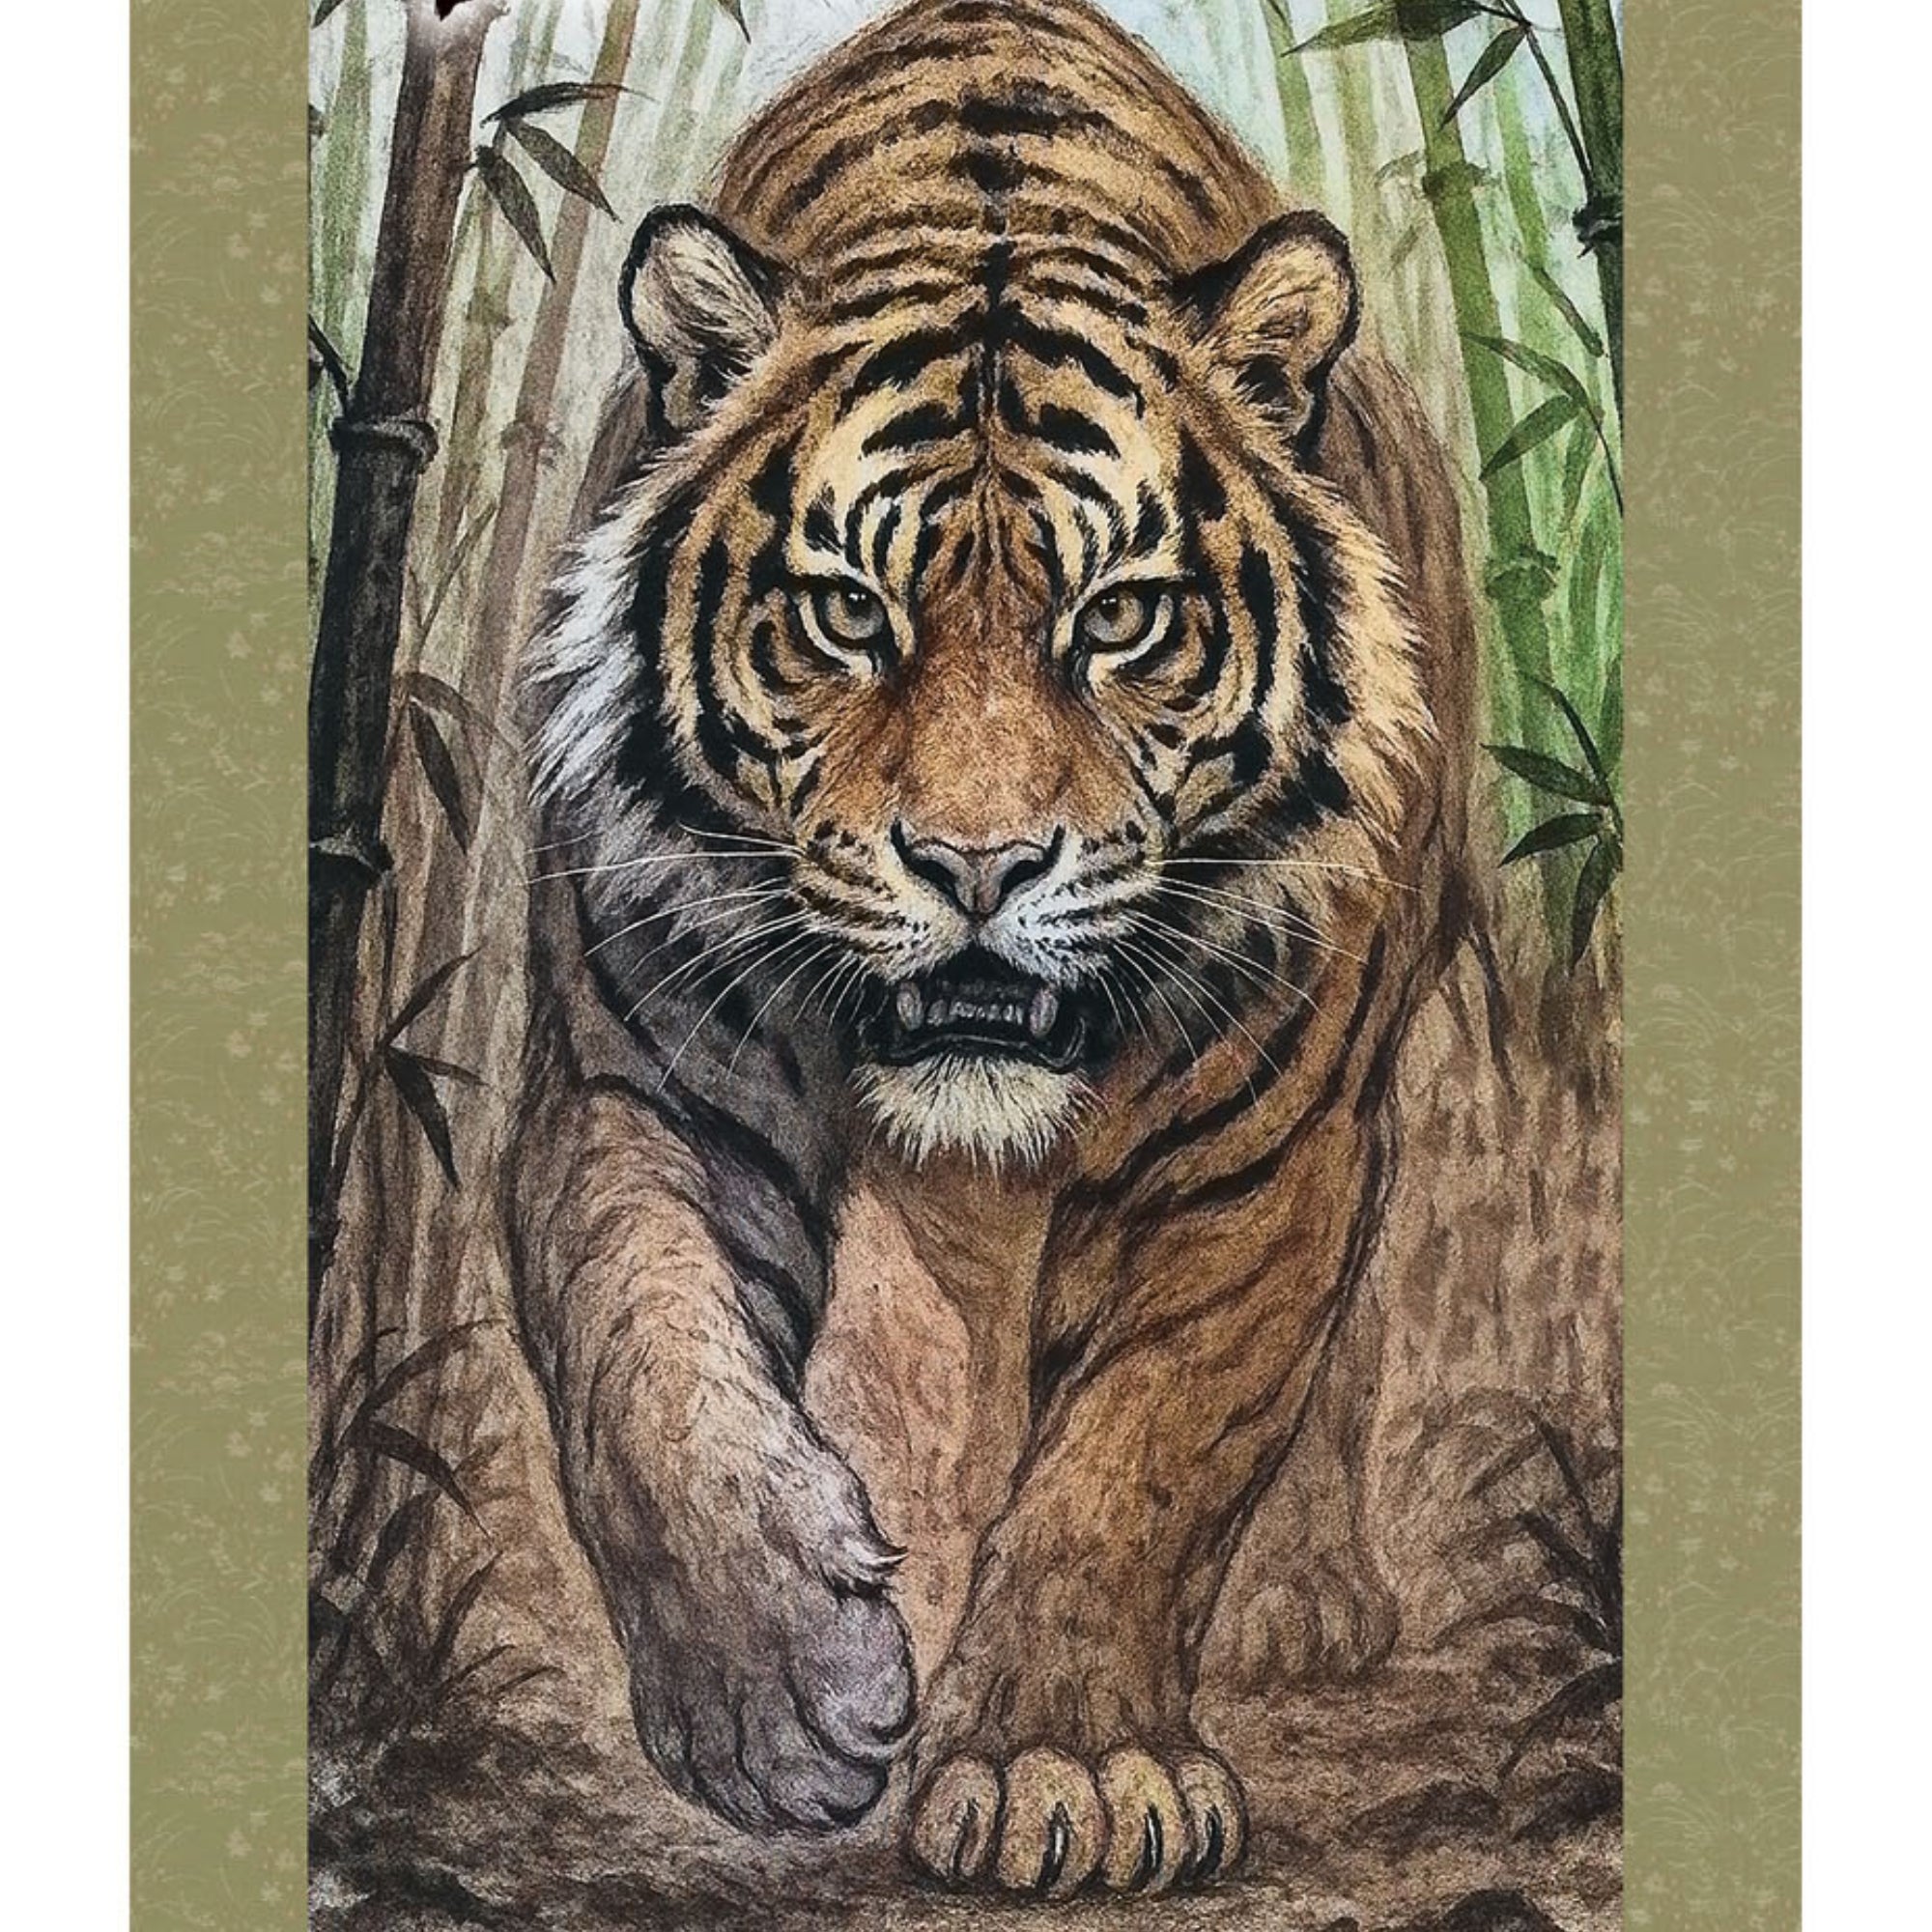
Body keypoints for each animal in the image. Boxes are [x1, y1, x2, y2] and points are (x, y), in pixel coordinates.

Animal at [508, 0, 1477, 1898]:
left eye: (1119, 619)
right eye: (845, 613)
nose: (976, 865)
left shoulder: (1252, 1154)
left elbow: (1143, 1450)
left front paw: (1064, 1770)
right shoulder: (634, 1084)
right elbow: (647, 1371)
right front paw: (776, 1699)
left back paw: (1304, 1601)